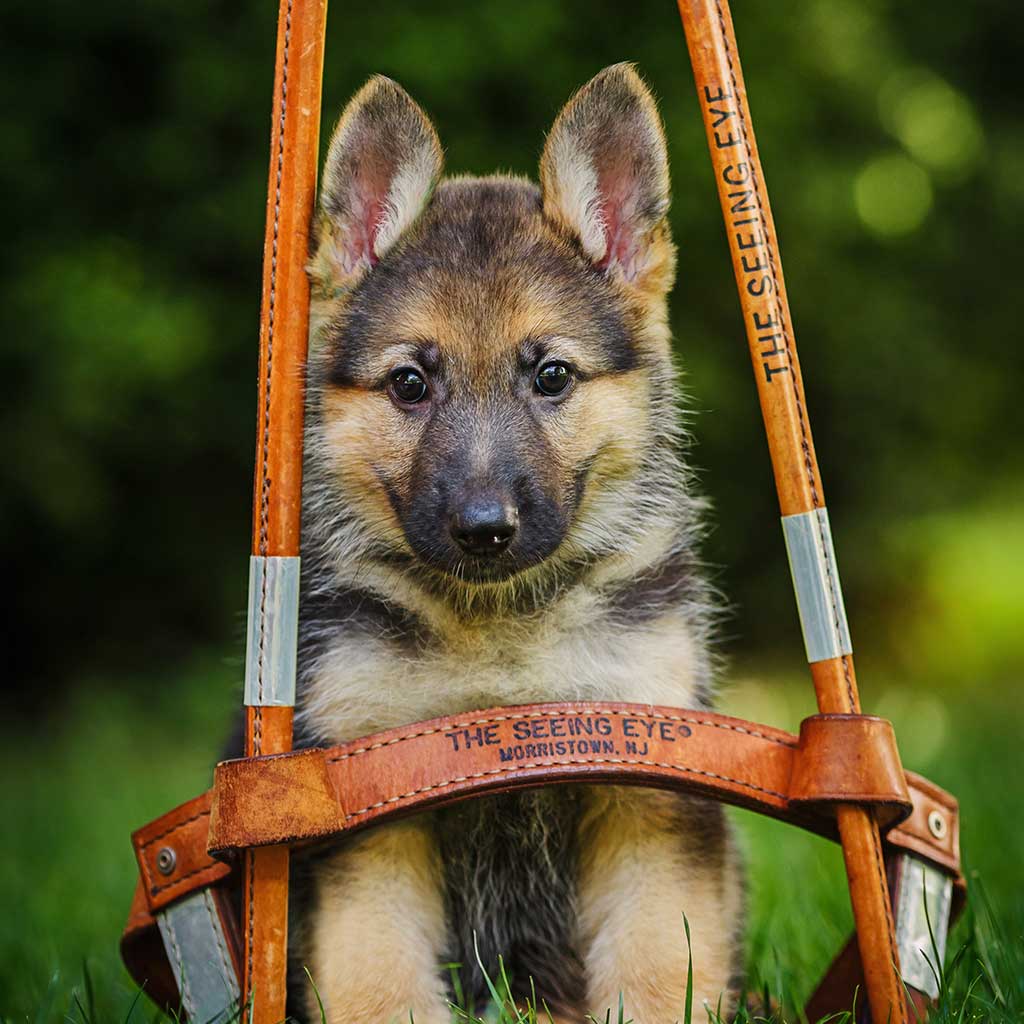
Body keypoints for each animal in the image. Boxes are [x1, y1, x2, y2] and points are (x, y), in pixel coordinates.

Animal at [292, 66, 741, 1024]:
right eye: (410, 384)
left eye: (552, 376)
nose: (484, 530)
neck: (500, 629)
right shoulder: (369, 817)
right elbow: (378, 978)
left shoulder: (650, 795)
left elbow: (657, 966)